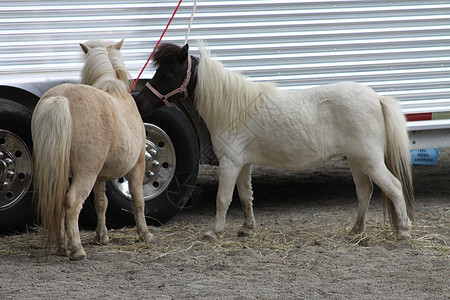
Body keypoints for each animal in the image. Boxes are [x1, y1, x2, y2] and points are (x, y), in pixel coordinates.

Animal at [32, 39, 153, 260]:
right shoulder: (138, 166)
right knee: (72, 203)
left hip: (60, 172)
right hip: (86, 172)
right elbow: (138, 200)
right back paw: (77, 249)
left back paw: (62, 247)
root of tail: (61, 99)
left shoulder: (100, 176)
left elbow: (101, 203)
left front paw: (101, 237)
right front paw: (145, 234)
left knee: (59, 203)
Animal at [135, 41, 414, 239]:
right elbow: (246, 196)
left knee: (393, 186)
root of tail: (376, 98)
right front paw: (247, 229)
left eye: (168, 74)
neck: (233, 108)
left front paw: (214, 232)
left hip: (369, 160)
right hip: (357, 160)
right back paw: (356, 230)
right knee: (365, 192)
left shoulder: (230, 163)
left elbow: (223, 199)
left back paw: (403, 231)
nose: (139, 103)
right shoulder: (243, 164)